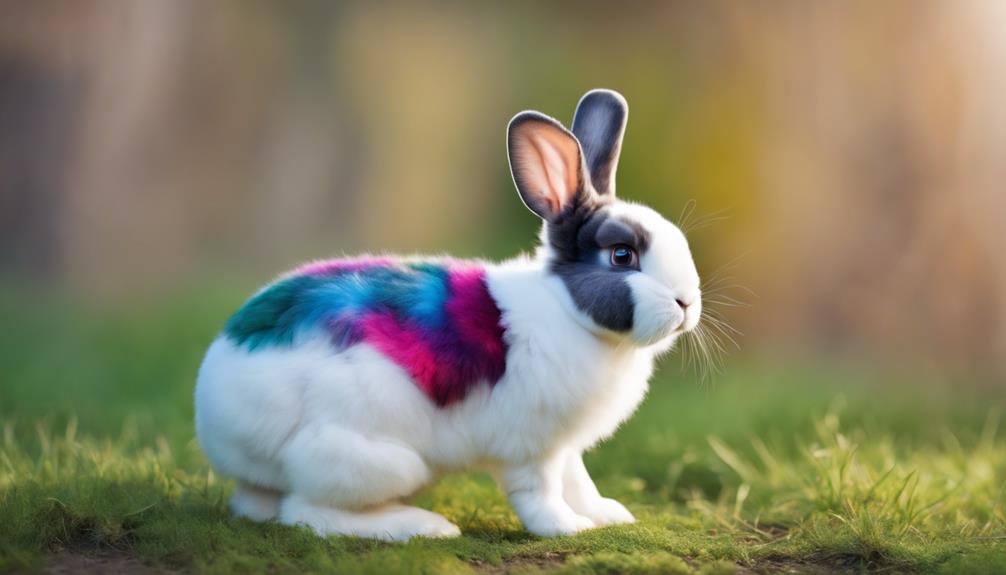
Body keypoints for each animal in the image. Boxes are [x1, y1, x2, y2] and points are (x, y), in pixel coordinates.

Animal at [195, 89, 702, 541]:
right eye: (622, 255)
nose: (687, 302)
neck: (567, 312)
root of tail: (214, 412)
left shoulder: (564, 446)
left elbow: (577, 479)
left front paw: (607, 514)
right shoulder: (529, 448)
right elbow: (540, 492)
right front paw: (565, 528)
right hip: (373, 459)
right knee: (307, 513)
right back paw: (422, 527)